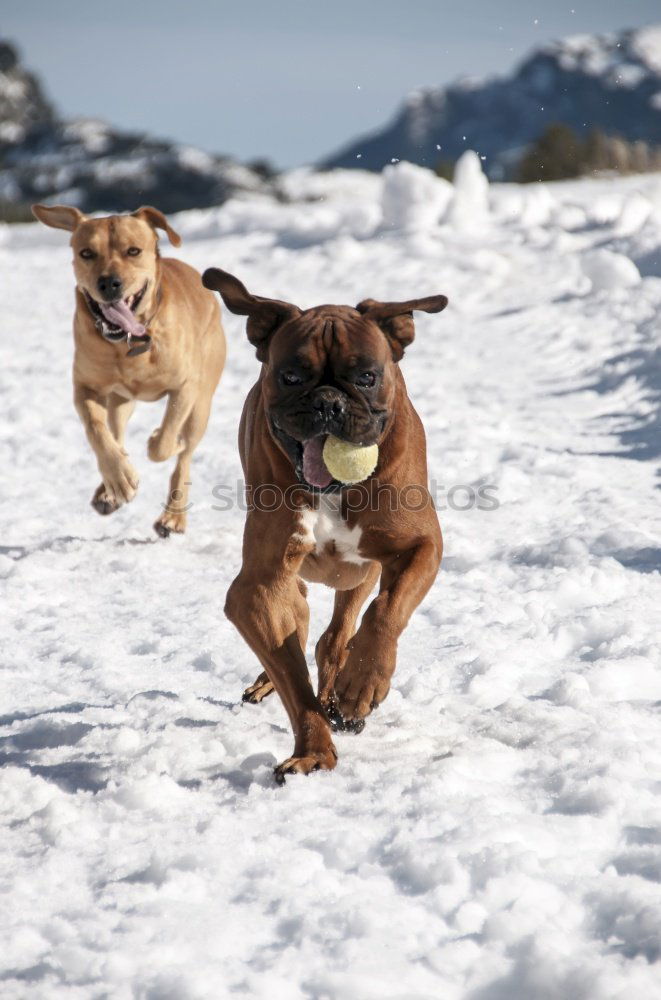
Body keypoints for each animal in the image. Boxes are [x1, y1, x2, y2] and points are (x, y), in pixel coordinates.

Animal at [31, 199, 227, 536]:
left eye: (133, 251)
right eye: (86, 253)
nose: (109, 283)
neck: (127, 342)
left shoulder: (185, 387)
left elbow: (164, 442)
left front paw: (159, 439)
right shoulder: (86, 386)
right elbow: (98, 432)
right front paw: (120, 479)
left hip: (202, 403)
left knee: (185, 454)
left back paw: (173, 516)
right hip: (120, 400)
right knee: (117, 431)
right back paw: (108, 490)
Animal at [202, 268, 448, 780]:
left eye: (367, 376)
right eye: (291, 376)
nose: (328, 403)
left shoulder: (419, 547)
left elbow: (385, 613)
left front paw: (361, 683)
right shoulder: (257, 588)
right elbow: (295, 684)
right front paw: (314, 751)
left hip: (359, 573)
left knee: (335, 637)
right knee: (300, 626)